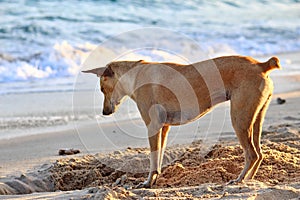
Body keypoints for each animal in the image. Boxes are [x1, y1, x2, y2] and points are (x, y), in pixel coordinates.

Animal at [82, 55, 282, 188]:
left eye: (102, 88)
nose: (104, 112)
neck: (135, 74)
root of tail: (261, 66)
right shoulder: (163, 128)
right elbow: (159, 157)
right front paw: (154, 179)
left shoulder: (153, 127)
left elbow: (153, 159)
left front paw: (148, 182)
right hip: (255, 119)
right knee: (259, 153)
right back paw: (248, 180)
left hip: (239, 119)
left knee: (252, 154)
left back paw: (240, 179)